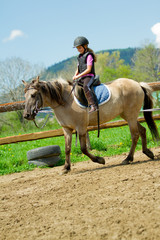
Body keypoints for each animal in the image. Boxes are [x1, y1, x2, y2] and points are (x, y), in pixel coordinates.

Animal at [21, 76, 159, 173]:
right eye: (25, 96)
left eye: (33, 95)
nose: (27, 115)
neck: (65, 101)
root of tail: (138, 84)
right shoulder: (67, 129)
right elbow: (67, 149)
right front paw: (66, 168)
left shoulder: (81, 127)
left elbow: (83, 148)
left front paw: (100, 160)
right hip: (128, 116)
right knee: (142, 130)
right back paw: (148, 153)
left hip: (130, 116)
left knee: (135, 135)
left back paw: (128, 159)